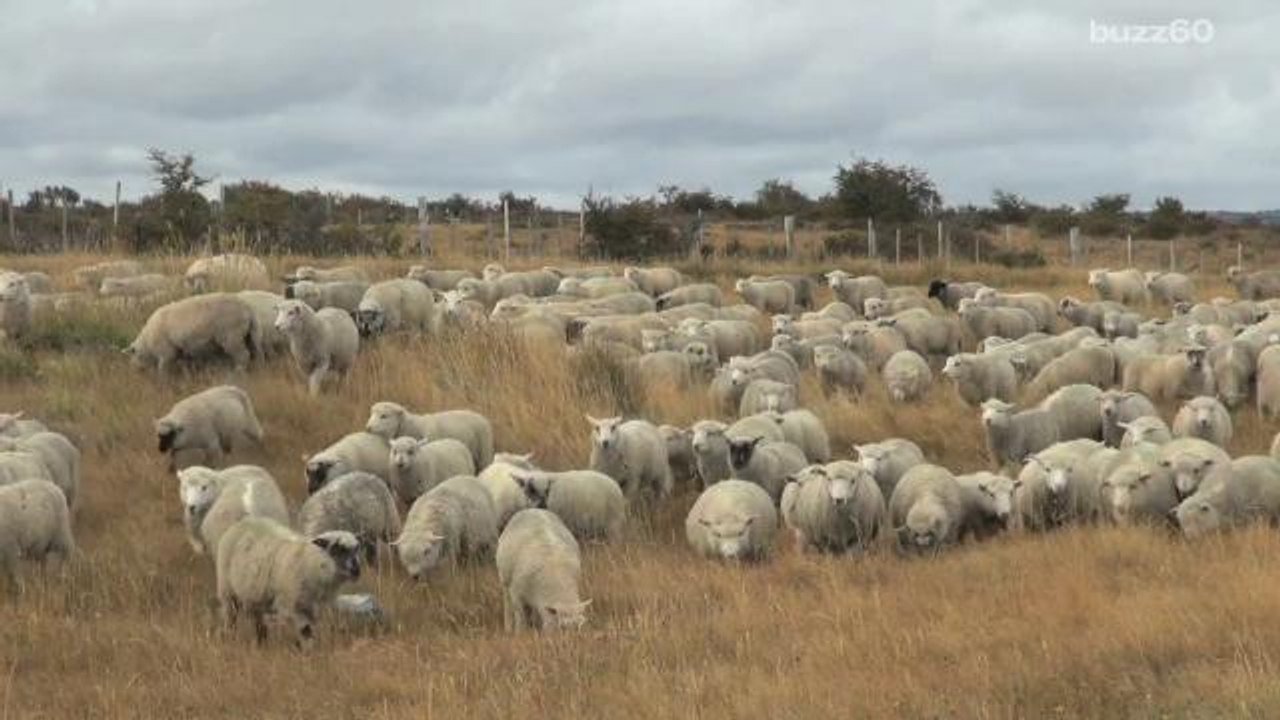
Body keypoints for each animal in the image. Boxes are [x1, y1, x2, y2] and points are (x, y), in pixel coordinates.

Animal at [125, 293, 257, 373]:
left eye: (133, 356)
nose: (136, 374)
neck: (147, 342)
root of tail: (247, 309)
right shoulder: (182, 352)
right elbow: (186, 369)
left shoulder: (166, 353)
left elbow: (163, 370)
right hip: (247, 335)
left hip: (231, 335)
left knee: (243, 356)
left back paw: (238, 372)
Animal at [216, 517, 361, 648]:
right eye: (337, 548)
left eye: (357, 548)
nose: (356, 570)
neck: (313, 562)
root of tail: (244, 521)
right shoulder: (292, 607)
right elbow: (305, 631)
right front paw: (307, 652)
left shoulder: (313, 608)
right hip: (228, 594)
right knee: (231, 620)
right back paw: (230, 639)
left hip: (253, 597)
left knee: (259, 624)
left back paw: (262, 645)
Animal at [364, 402, 494, 469]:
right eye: (371, 414)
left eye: (384, 416)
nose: (368, 428)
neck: (413, 427)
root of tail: (482, 417)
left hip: (484, 449)